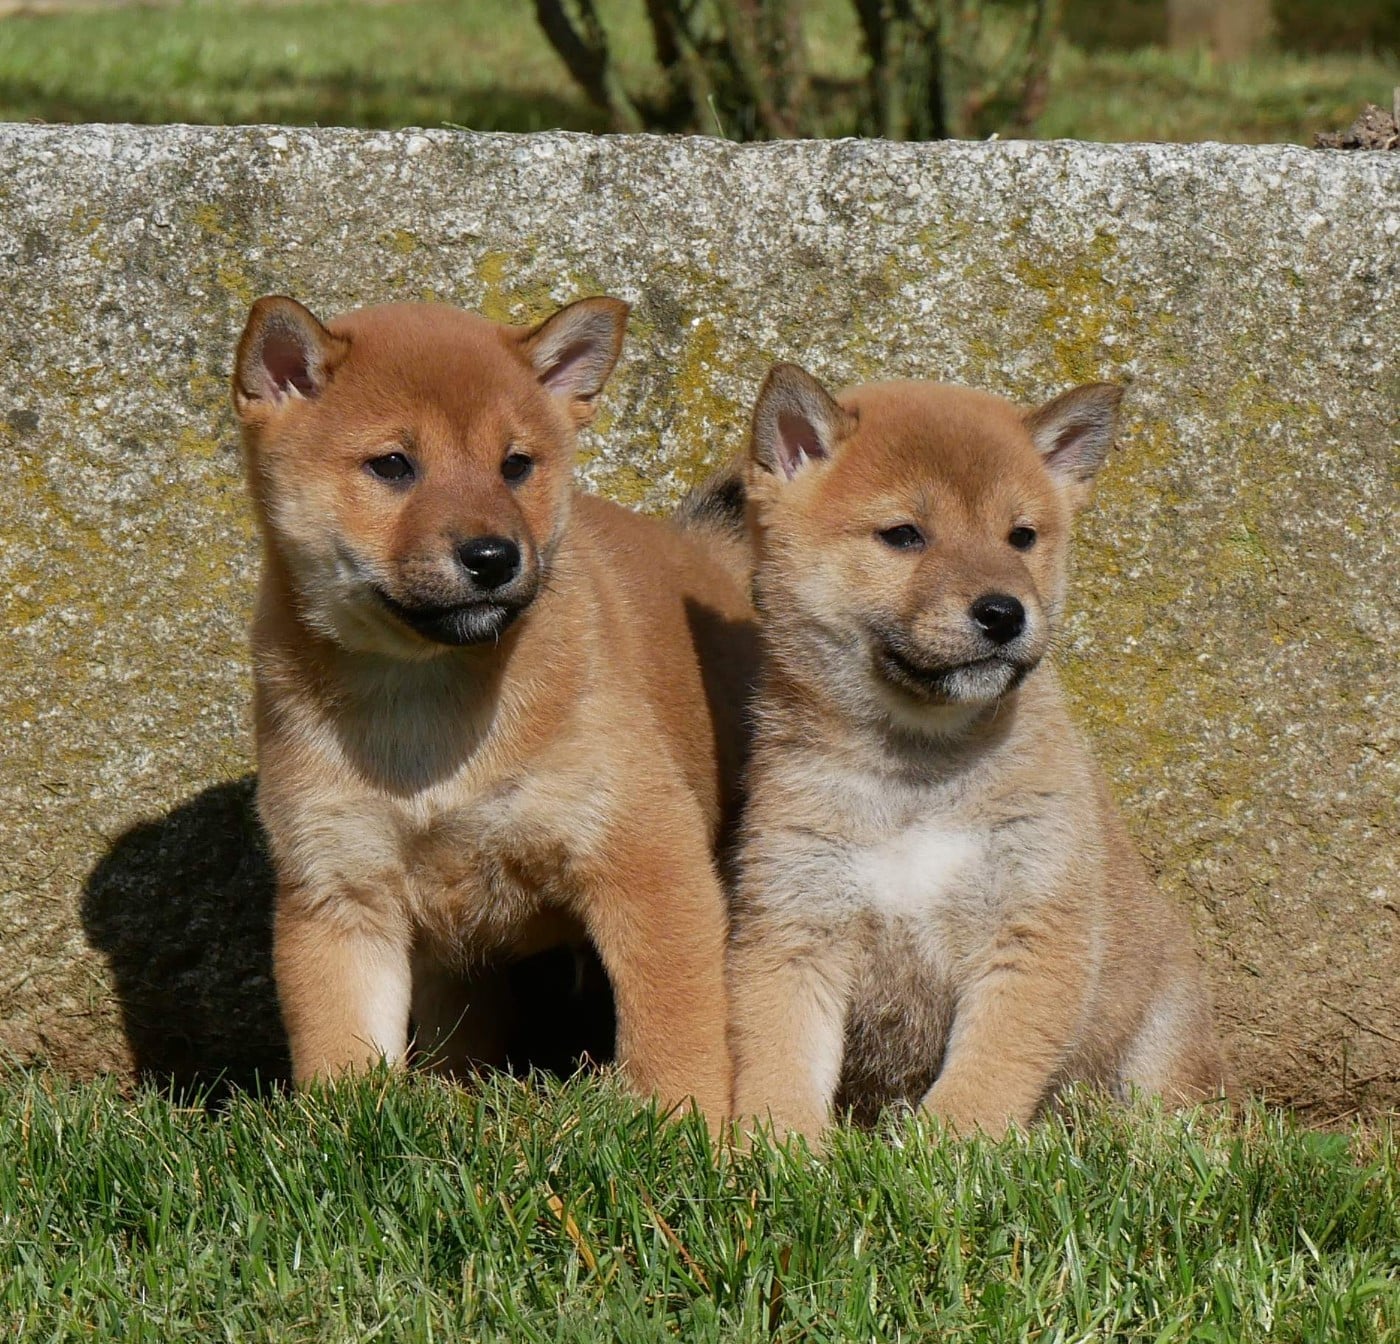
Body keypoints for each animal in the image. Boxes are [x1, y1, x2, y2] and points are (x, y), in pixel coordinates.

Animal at [231, 294, 755, 1120]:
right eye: (393, 465)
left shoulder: (645, 854)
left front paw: (688, 1129)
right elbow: (340, 1050)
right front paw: (346, 1130)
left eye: (516, 466)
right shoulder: (338, 886)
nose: (491, 557)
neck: (425, 699)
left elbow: (675, 1031)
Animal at [724, 364, 1228, 1141]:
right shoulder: (795, 924)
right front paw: (770, 1151)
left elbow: (984, 1082)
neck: (919, 774)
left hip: (1160, 1040)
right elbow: (780, 1068)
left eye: (1020, 536)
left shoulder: (1031, 928)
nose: (1002, 612)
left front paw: (941, 1152)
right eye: (904, 535)